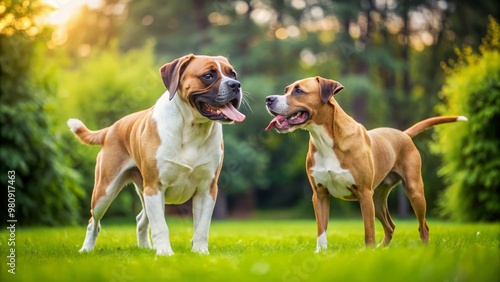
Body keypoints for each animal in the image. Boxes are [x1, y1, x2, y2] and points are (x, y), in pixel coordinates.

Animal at [66, 53, 246, 256]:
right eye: (208, 75)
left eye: (232, 73)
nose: (235, 85)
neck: (192, 129)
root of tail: (112, 128)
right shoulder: (155, 186)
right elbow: (161, 226)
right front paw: (165, 254)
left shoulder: (207, 189)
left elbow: (202, 226)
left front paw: (200, 252)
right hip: (106, 192)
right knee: (93, 222)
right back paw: (86, 249)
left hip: (144, 194)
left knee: (141, 219)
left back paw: (145, 247)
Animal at [268, 76, 466, 251]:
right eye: (286, 90)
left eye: (299, 91)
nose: (269, 99)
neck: (325, 140)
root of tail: (403, 134)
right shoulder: (320, 195)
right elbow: (321, 229)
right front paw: (321, 253)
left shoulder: (363, 193)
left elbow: (368, 229)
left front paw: (367, 253)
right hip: (377, 199)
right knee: (390, 226)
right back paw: (382, 248)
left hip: (413, 192)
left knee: (423, 226)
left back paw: (423, 248)